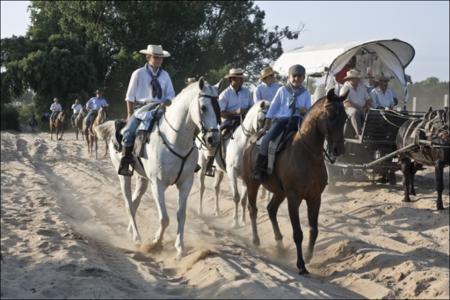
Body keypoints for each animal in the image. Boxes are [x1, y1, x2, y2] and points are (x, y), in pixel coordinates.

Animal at [96, 78, 220, 256]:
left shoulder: (186, 183)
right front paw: (155, 243)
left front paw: (180, 247)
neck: (175, 140)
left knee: (135, 203)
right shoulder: (158, 184)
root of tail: (118, 126)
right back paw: (137, 239)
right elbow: (164, 218)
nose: (213, 138)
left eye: (218, 107)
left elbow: (181, 215)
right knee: (128, 204)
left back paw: (131, 231)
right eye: (203, 107)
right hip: (123, 175)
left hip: (142, 178)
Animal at [243, 88, 348, 274]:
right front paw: (301, 265)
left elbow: (314, 230)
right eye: (331, 115)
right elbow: (298, 233)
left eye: (345, 118)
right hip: (252, 183)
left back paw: (280, 244)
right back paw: (256, 241)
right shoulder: (294, 197)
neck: (306, 153)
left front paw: (308, 256)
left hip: (279, 192)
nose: (338, 150)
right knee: (253, 209)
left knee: (271, 210)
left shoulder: (314, 197)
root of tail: (253, 138)